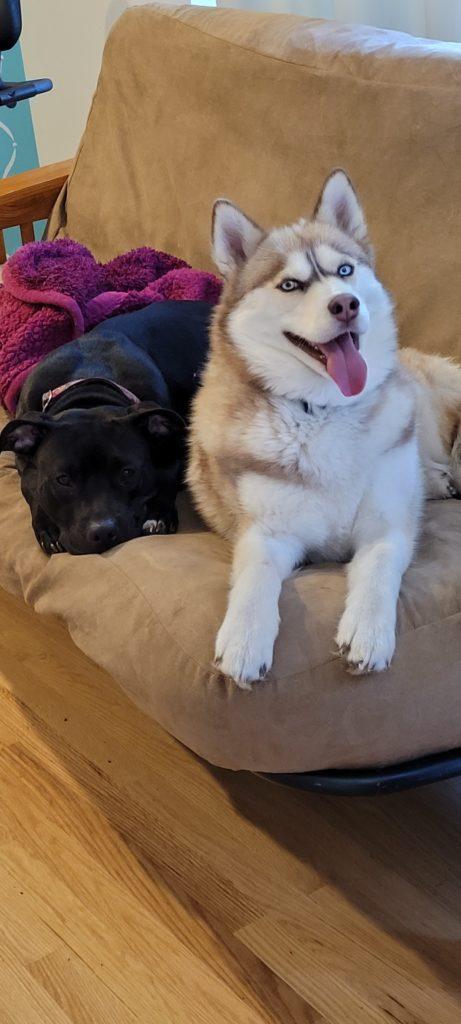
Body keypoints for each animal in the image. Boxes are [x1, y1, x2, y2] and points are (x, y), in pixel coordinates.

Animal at [0, 299, 212, 557]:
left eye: (128, 472)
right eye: (62, 480)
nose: (102, 532)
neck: (90, 387)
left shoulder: (171, 446)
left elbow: (168, 478)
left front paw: (158, 515)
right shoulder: (24, 461)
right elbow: (31, 488)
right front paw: (47, 526)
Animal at [188, 172, 456, 692]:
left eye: (345, 271)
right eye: (290, 284)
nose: (345, 304)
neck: (323, 411)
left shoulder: (387, 525)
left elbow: (378, 568)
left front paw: (368, 631)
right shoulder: (268, 531)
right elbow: (254, 576)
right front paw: (245, 639)